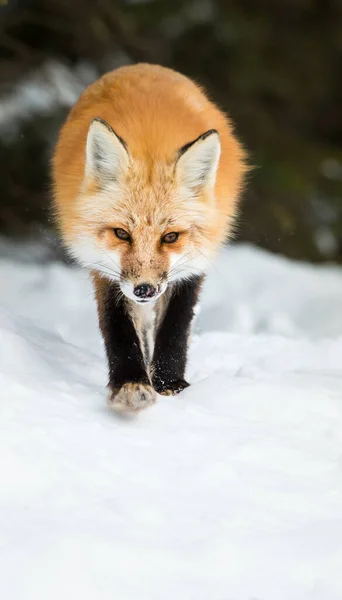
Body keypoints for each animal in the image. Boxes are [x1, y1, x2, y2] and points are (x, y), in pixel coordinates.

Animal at [51, 64, 248, 412]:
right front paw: (131, 382)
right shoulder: (105, 271)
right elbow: (118, 328)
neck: (150, 142)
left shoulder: (191, 269)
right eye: (121, 234)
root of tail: (143, 66)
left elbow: (175, 327)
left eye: (170, 237)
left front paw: (170, 384)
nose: (145, 289)